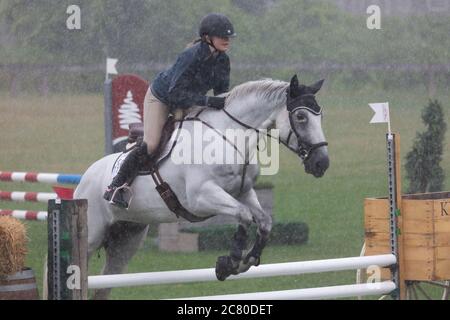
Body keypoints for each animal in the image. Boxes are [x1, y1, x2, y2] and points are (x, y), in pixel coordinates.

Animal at [73, 74, 326, 298]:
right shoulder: (201, 198)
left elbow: (264, 221)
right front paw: (230, 263)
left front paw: (249, 259)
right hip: (92, 234)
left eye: (320, 116)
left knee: (105, 283)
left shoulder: (243, 192)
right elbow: (244, 215)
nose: (322, 163)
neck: (229, 137)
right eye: (301, 116)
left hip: (127, 239)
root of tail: (85, 178)